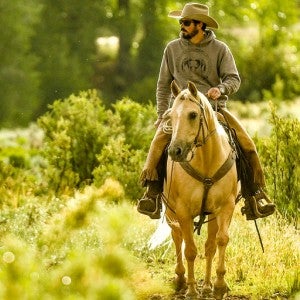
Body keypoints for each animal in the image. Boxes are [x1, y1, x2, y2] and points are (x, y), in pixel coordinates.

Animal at [163, 81, 238, 298]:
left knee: (210, 246)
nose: (175, 151)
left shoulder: (225, 207)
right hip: (170, 212)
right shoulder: (183, 212)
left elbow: (221, 241)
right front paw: (191, 289)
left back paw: (206, 286)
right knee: (177, 238)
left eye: (193, 114)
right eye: (171, 116)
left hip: (211, 215)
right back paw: (181, 279)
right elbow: (189, 249)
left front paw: (219, 285)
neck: (207, 161)